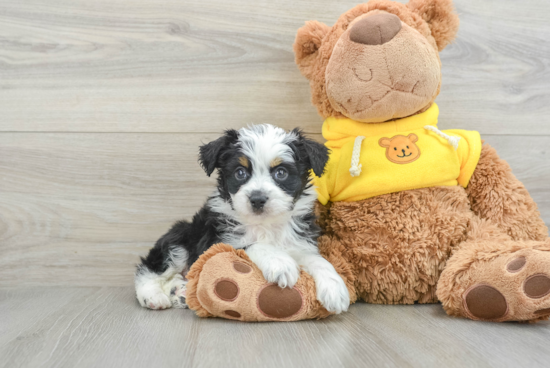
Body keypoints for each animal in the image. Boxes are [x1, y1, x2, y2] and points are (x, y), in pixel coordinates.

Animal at [137, 124, 352, 314]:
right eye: (240, 172)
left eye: (281, 173)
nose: (257, 199)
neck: (265, 225)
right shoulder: (218, 242)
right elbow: (253, 244)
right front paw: (280, 263)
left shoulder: (299, 243)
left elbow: (317, 260)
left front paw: (335, 288)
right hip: (181, 237)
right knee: (149, 268)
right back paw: (153, 296)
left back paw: (180, 292)